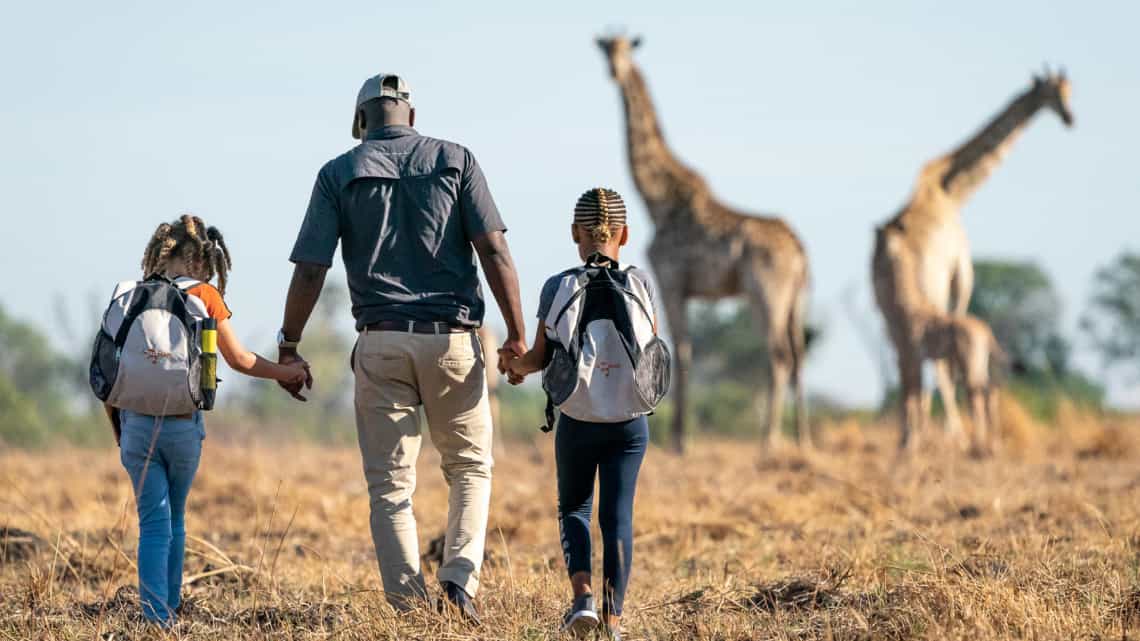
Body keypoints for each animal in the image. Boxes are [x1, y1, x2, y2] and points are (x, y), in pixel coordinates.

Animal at [597, 34, 811, 451]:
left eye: (626, 50)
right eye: (605, 50)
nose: (614, 71)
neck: (657, 201)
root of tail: (799, 251)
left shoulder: (670, 279)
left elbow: (680, 348)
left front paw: (680, 441)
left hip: (766, 292)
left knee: (778, 354)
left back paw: (769, 441)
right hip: (796, 300)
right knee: (797, 354)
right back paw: (802, 441)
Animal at [875, 68, 1071, 449]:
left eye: (1070, 91)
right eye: (1055, 93)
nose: (1071, 118)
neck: (949, 190)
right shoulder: (961, 273)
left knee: (936, 374)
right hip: (937, 294)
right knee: (955, 375)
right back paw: (954, 434)